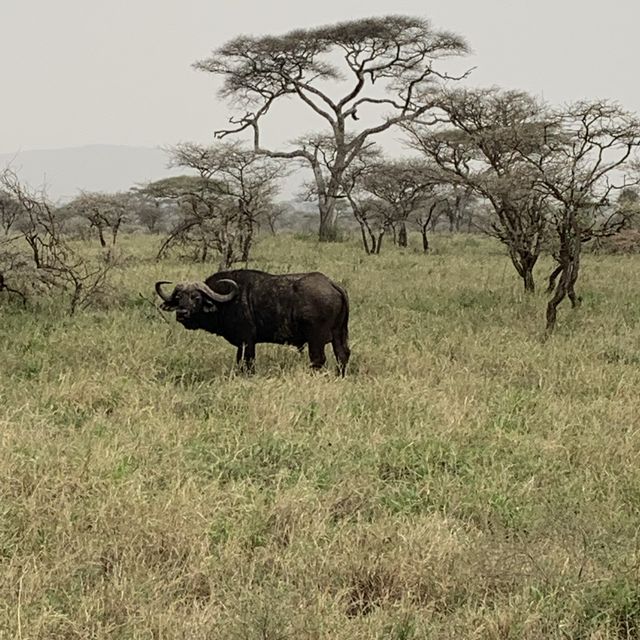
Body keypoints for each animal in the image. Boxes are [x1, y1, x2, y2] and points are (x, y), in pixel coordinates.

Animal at [156, 268, 352, 376]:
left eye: (196, 297)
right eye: (179, 298)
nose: (182, 313)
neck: (226, 302)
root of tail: (331, 284)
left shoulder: (247, 341)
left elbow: (248, 364)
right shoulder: (240, 345)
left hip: (316, 339)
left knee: (318, 359)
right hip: (339, 335)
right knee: (342, 355)